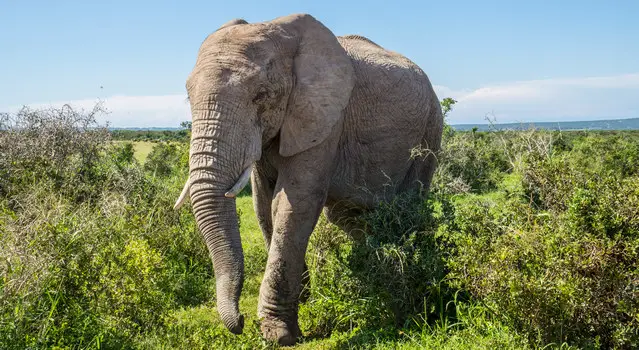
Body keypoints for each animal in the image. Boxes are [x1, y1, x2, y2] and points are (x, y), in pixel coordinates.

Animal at [175, 13, 444, 344]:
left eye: (261, 96)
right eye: (189, 96)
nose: (239, 321)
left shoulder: (325, 118)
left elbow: (295, 203)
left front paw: (277, 334)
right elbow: (263, 206)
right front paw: (302, 299)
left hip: (430, 129)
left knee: (408, 207)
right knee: (348, 217)